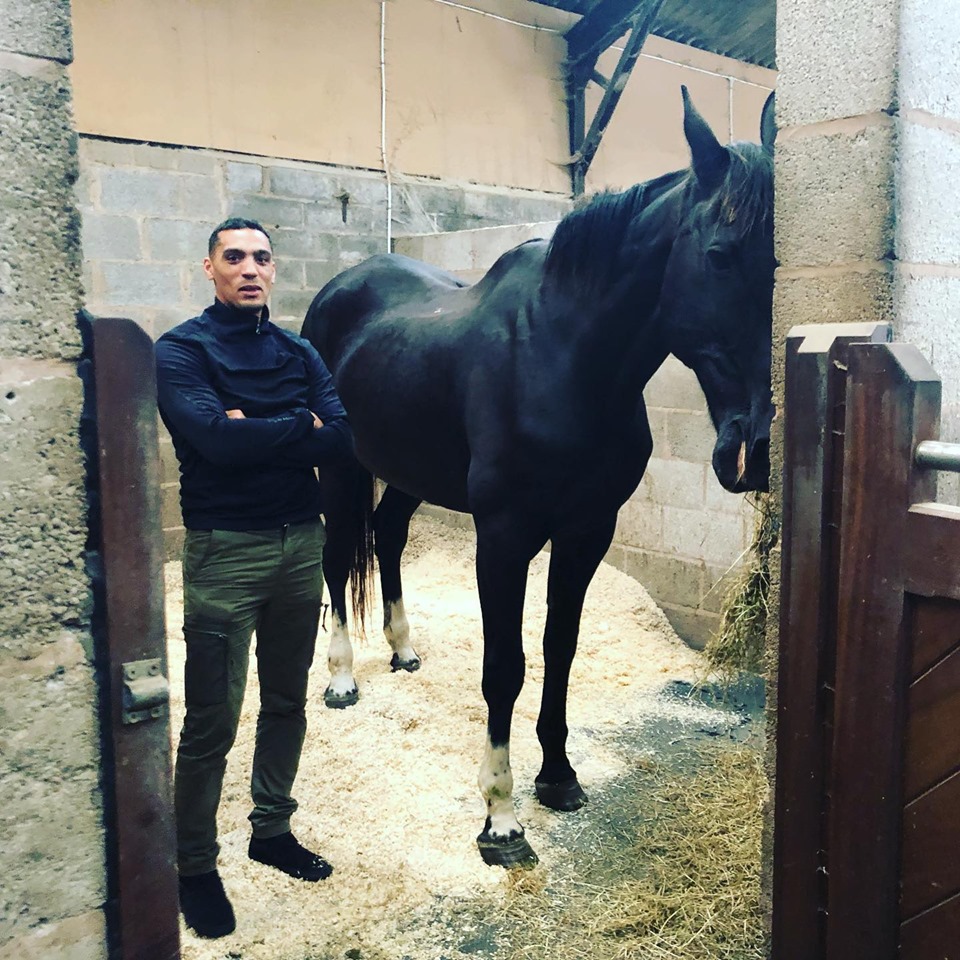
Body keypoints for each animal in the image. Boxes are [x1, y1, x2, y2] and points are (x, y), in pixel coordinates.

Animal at [304, 88, 776, 872]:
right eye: (717, 255)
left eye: (779, 257)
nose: (753, 448)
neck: (564, 357)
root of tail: (337, 289)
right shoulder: (504, 536)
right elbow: (505, 665)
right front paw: (499, 819)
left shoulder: (587, 531)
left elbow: (560, 648)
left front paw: (557, 776)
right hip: (340, 468)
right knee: (339, 556)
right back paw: (341, 678)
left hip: (406, 472)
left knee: (388, 536)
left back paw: (402, 650)